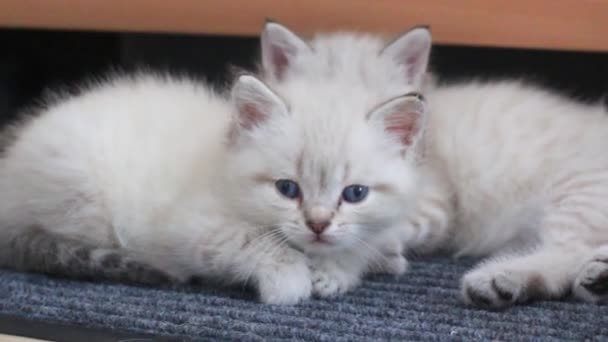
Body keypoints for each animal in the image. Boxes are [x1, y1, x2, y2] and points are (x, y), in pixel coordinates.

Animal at [258, 22, 608, 308]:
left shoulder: (435, 204)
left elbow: (369, 235)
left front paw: (339, 268)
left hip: (578, 186)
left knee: (567, 250)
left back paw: (498, 279)